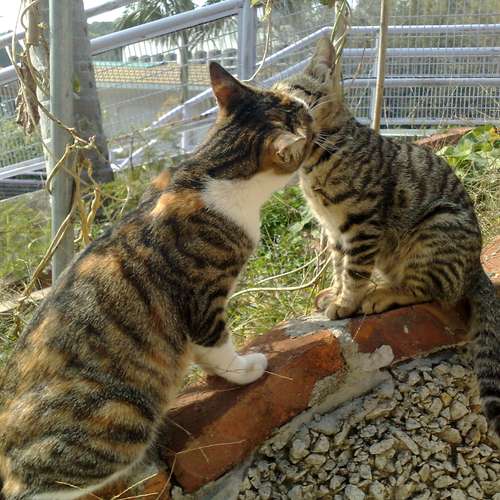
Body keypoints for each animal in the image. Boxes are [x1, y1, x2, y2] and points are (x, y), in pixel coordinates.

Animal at [0, 62, 313, 500]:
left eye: (286, 100)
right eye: (297, 113)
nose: (305, 101)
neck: (207, 172)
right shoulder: (203, 300)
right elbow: (217, 345)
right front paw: (244, 369)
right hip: (122, 413)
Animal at [275, 37, 499, 442]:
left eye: (294, 95)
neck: (318, 158)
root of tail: (476, 267)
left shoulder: (361, 222)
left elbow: (354, 271)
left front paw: (346, 303)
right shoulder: (334, 231)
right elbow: (339, 266)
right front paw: (335, 294)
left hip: (437, 225)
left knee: (433, 290)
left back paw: (382, 293)